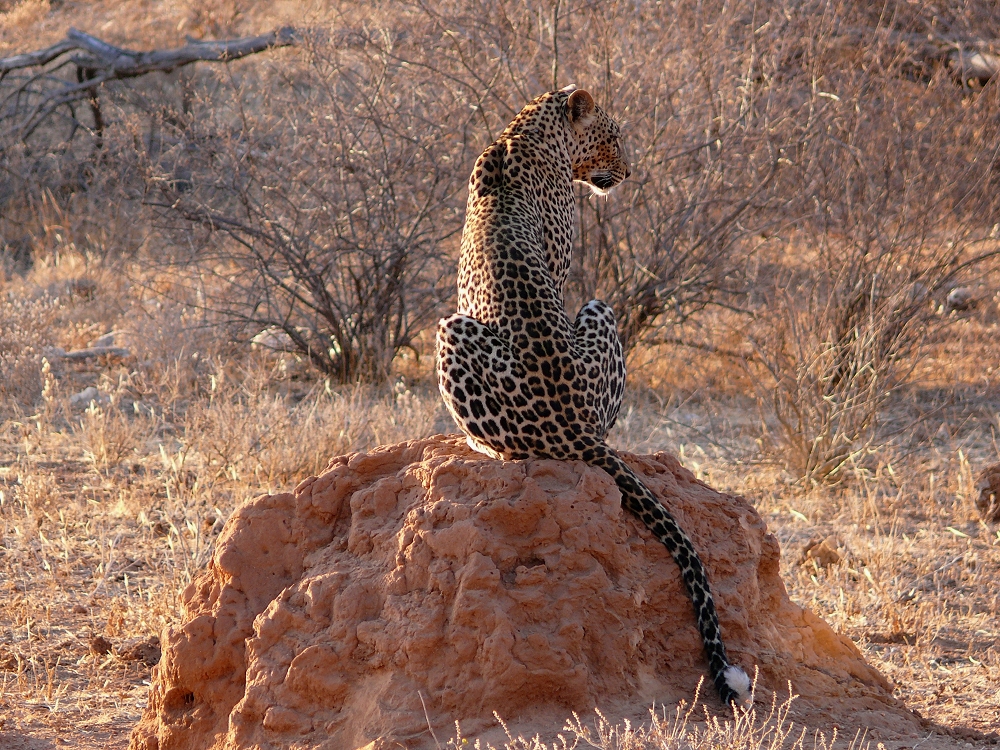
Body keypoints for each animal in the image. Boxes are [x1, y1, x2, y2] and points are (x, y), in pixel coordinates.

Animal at [438, 88, 752, 712]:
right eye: (614, 137)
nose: (628, 173)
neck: (526, 129)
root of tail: (574, 426)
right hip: (493, 324)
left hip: (562, 313)